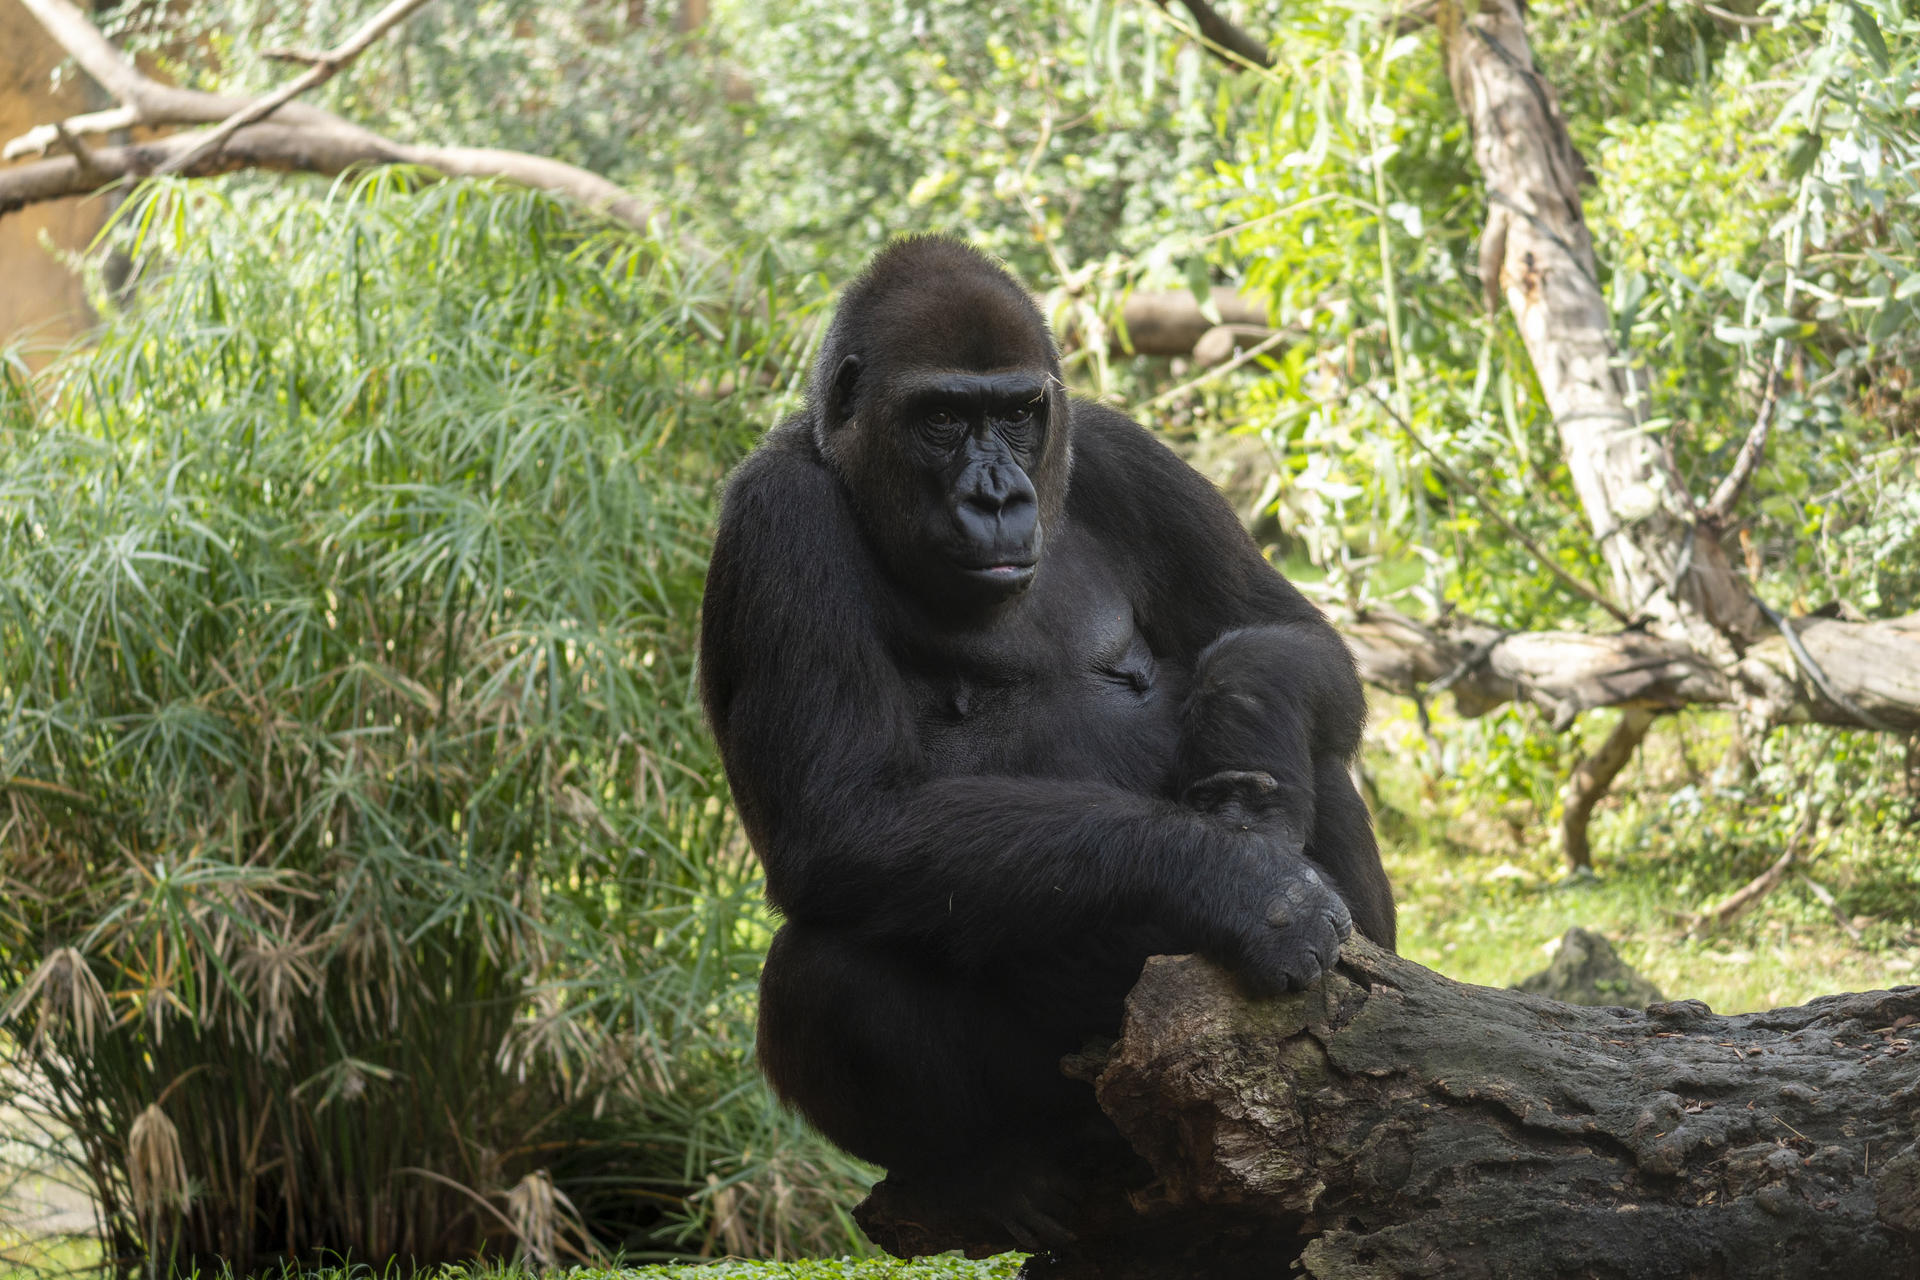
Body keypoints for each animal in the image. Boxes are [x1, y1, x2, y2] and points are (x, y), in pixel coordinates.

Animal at [698, 239, 1390, 1251]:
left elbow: (1290, 637)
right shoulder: (777, 518)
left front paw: (1245, 741)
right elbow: (843, 819)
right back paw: (981, 1172)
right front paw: (1238, 883)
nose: (997, 497)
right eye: (944, 418)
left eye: (1020, 415)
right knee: (815, 967)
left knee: (1322, 758)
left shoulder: (1117, 449)